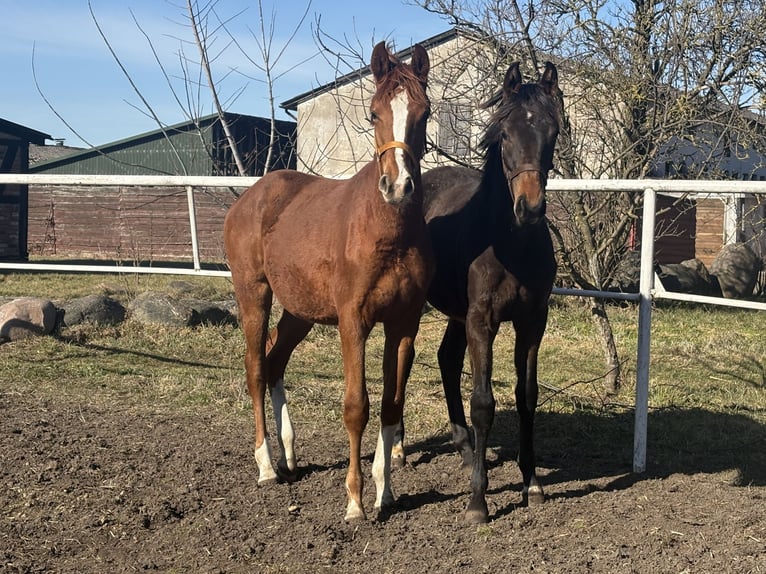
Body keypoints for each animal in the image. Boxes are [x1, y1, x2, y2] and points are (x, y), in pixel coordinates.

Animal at [223, 41, 433, 522]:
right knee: (256, 366)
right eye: (373, 114)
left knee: (275, 360)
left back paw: (289, 456)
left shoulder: (404, 323)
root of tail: (251, 197)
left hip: (300, 310)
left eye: (425, 112)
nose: (399, 186)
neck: (386, 231)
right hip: (254, 294)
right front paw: (355, 501)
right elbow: (357, 406)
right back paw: (267, 465)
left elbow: (391, 405)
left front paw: (385, 492)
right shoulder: (353, 321)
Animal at [412, 61, 561, 524]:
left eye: (553, 132)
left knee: (446, 358)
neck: (510, 244)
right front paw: (478, 500)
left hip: (456, 314)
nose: (529, 209)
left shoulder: (532, 320)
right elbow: (483, 402)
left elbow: (527, 395)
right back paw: (401, 449)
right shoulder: (483, 321)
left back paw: (463, 448)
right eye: (505, 134)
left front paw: (532, 483)